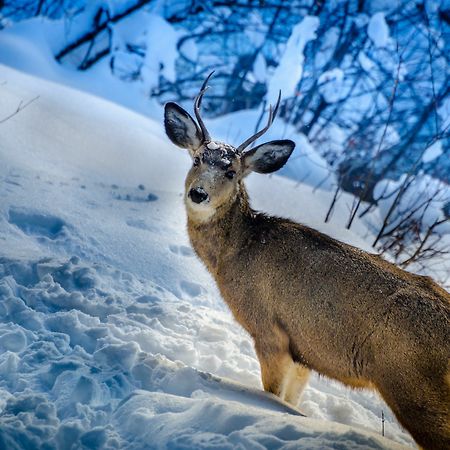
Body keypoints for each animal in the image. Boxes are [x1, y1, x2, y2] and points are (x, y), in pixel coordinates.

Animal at [164, 72, 450, 448]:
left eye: (231, 173)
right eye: (197, 159)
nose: (198, 194)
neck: (237, 251)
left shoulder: (270, 331)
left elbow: (272, 395)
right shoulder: (304, 352)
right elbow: (291, 400)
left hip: (413, 385)